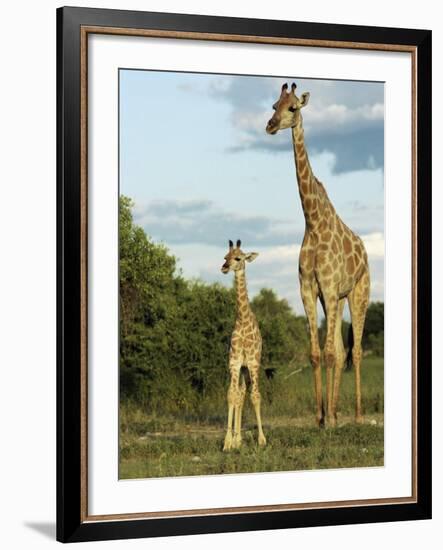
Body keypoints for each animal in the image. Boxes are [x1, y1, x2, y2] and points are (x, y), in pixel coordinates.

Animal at [268, 82, 372, 430]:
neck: (312, 222)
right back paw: (336, 412)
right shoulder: (309, 289)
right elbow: (317, 354)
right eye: (273, 105)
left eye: (293, 108)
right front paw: (320, 415)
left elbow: (329, 354)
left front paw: (328, 419)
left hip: (358, 293)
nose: (270, 125)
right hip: (335, 299)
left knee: (355, 351)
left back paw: (356, 414)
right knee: (340, 350)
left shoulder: (327, 286)